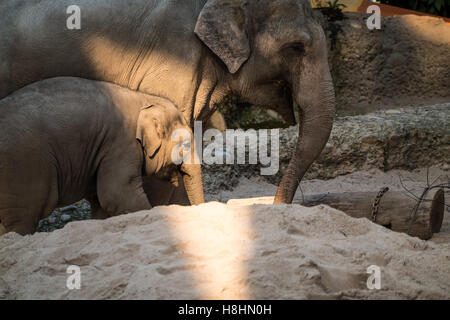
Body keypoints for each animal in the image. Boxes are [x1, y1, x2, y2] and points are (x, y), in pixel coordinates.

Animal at [0, 76, 204, 234]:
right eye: (186, 144)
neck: (144, 98)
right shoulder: (120, 144)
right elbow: (117, 195)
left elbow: (101, 204)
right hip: (23, 167)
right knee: (23, 220)